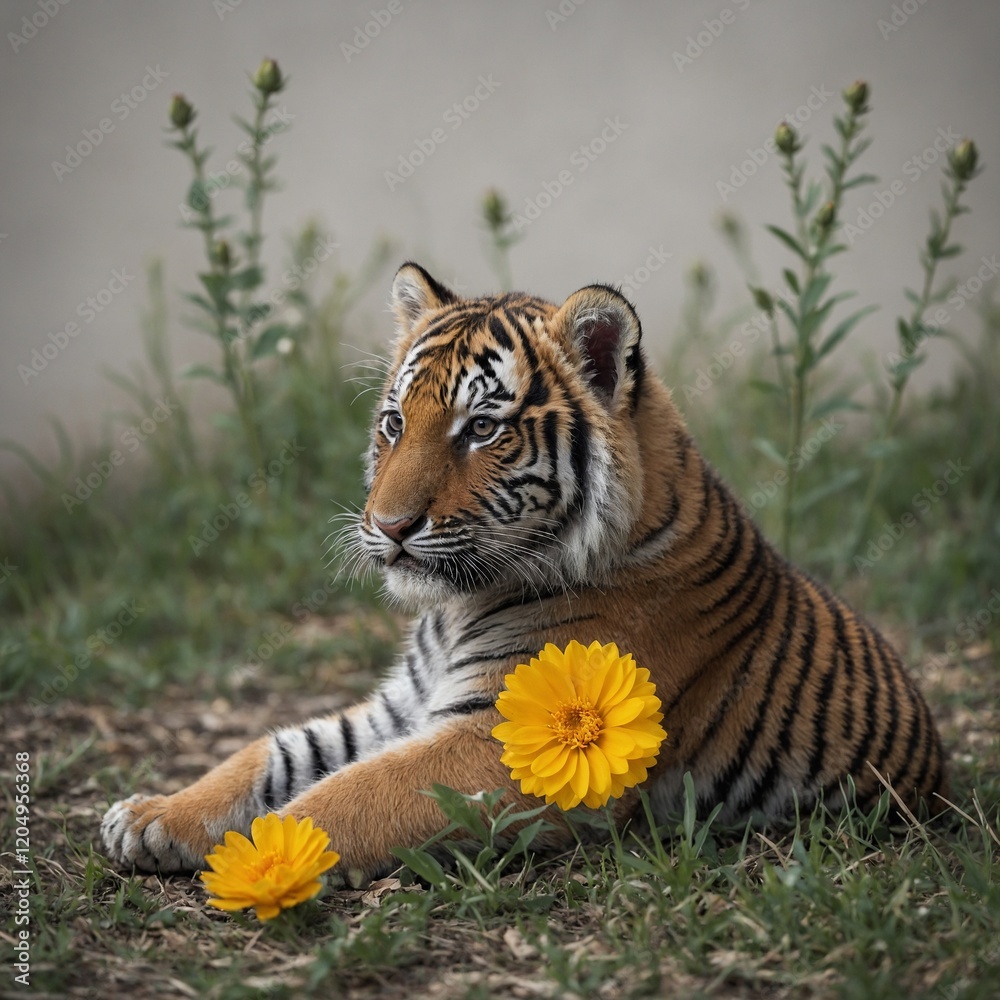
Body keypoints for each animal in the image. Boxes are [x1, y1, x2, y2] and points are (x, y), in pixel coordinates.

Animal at [101, 262, 948, 878]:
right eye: (394, 423)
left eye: (481, 430)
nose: (389, 527)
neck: (453, 609)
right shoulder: (402, 708)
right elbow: (273, 751)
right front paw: (151, 816)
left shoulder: (502, 748)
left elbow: (347, 795)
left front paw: (263, 857)